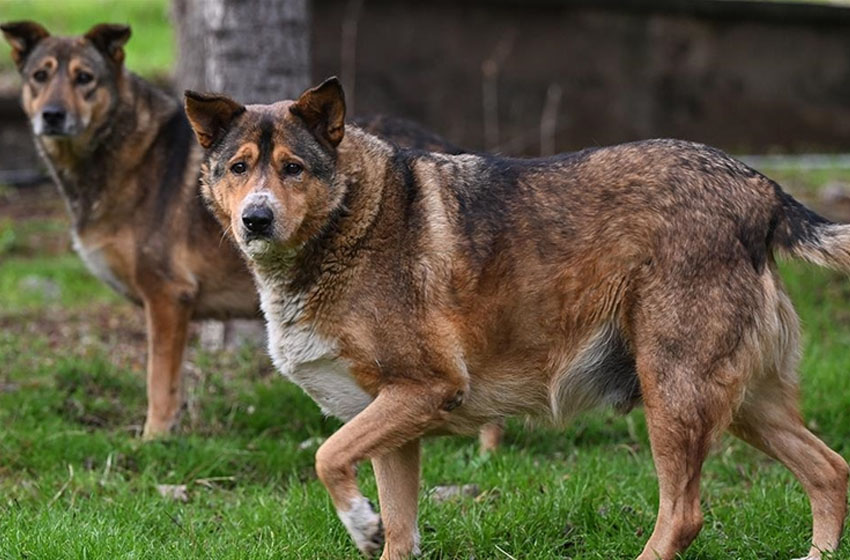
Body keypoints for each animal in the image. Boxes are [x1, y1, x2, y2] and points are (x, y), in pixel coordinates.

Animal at [1, 23, 504, 450]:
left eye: (85, 78)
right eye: (40, 76)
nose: (52, 115)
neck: (125, 151)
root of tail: (448, 147)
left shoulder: (167, 297)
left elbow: (159, 382)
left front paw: (154, 440)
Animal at [182, 77, 844, 560]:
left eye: (293, 168)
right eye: (238, 168)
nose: (256, 220)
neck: (349, 222)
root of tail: (760, 189)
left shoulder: (426, 389)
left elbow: (326, 458)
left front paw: (358, 524)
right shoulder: (394, 421)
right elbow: (397, 529)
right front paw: (374, 527)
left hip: (675, 394)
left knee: (684, 516)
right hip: (744, 403)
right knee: (830, 471)